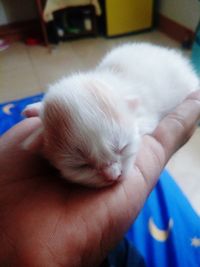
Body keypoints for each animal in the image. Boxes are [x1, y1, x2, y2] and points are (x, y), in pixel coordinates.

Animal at [23, 42, 198, 188]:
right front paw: (33, 109)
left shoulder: (146, 118)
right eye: (81, 165)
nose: (113, 176)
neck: (110, 82)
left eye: (122, 148)